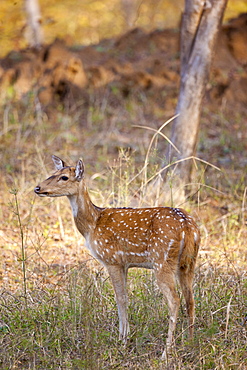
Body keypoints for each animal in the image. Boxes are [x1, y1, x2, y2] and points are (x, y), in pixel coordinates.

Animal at [34, 155, 201, 356]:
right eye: (54, 172)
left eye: (64, 177)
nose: (38, 188)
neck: (92, 225)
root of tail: (188, 227)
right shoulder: (124, 263)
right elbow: (125, 297)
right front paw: (124, 336)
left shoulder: (111, 259)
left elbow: (120, 298)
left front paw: (122, 340)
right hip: (188, 262)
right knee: (190, 299)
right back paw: (190, 344)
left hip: (162, 260)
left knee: (174, 300)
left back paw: (166, 352)